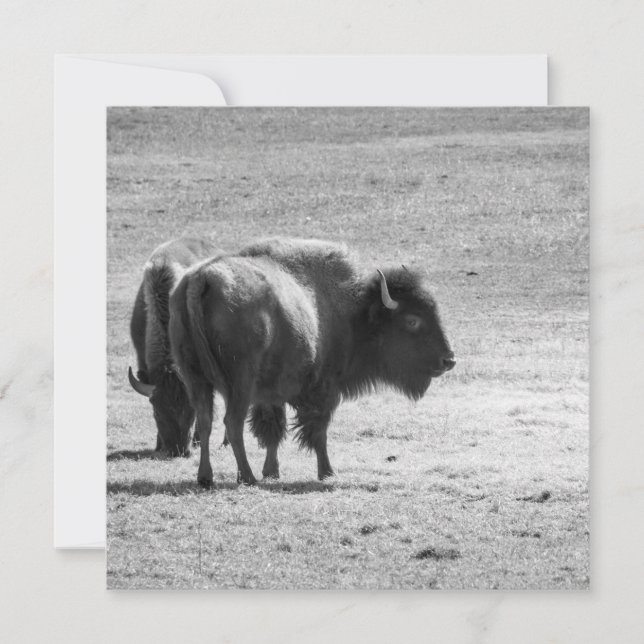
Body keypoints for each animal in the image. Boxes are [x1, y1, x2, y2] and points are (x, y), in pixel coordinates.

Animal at [169, 238, 455, 486]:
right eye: (412, 320)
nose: (449, 359)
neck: (354, 313)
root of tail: (201, 279)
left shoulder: (271, 393)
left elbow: (273, 430)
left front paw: (272, 472)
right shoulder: (323, 390)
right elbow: (318, 431)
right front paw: (326, 472)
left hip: (194, 378)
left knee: (205, 420)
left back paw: (206, 477)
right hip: (239, 383)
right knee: (232, 423)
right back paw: (247, 477)